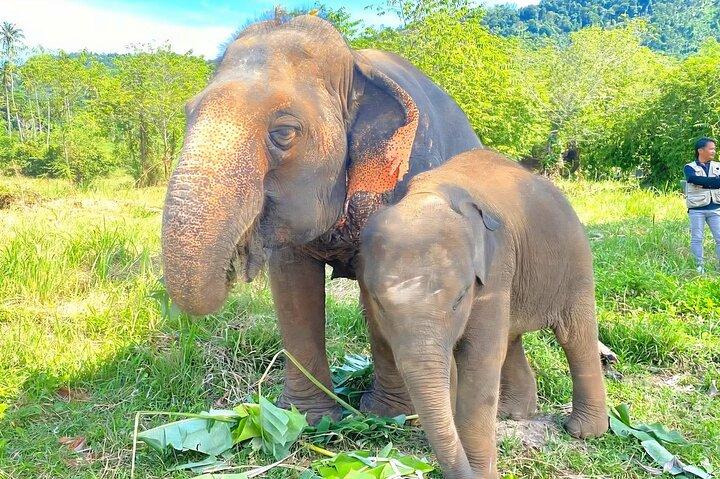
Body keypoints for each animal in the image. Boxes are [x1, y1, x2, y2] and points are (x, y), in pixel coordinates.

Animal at [161, 14, 483, 422]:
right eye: (188, 113)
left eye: (283, 132)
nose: (236, 263)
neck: (356, 65)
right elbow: (292, 286)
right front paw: (307, 418)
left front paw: (388, 416)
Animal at [359, 149, 609, 478]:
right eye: (380, 303)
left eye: (460, 298)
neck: (426, 196)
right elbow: (383, 341)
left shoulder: (496, 265)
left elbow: (479, 356)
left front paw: (479, 472)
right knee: (512, 338)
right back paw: (513, 413)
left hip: (575, 258)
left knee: (574, 335)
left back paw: (584, 432)